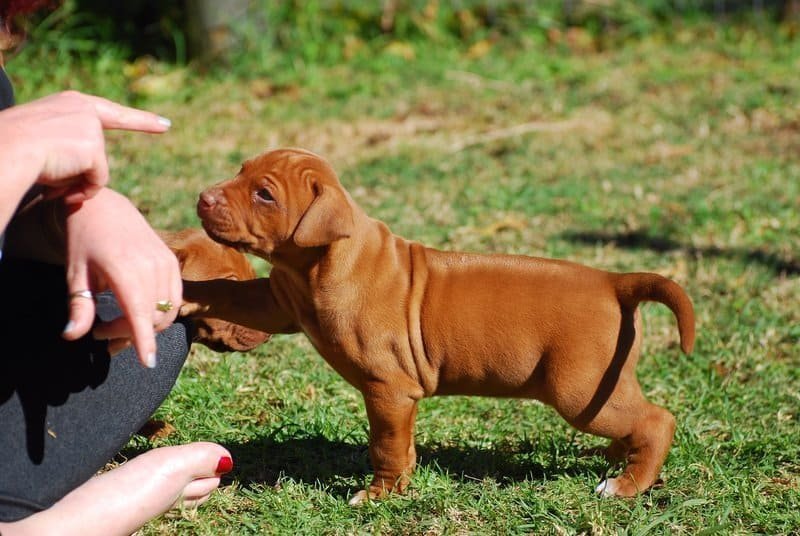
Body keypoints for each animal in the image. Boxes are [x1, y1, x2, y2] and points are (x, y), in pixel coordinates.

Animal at [181, 148, 692, 502]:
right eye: (241, 170)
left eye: (264, 194)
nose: (202, 198)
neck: (321, 264)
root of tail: (614, 282)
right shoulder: (277, 302)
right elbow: (228, 294)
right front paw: (179, 285)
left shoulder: (388, 389)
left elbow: (386, 446)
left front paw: (380, 495)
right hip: (600, 386)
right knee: (634, 421)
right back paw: (616, 458)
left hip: (578, 389)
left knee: (657, 421)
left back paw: (626, 485)